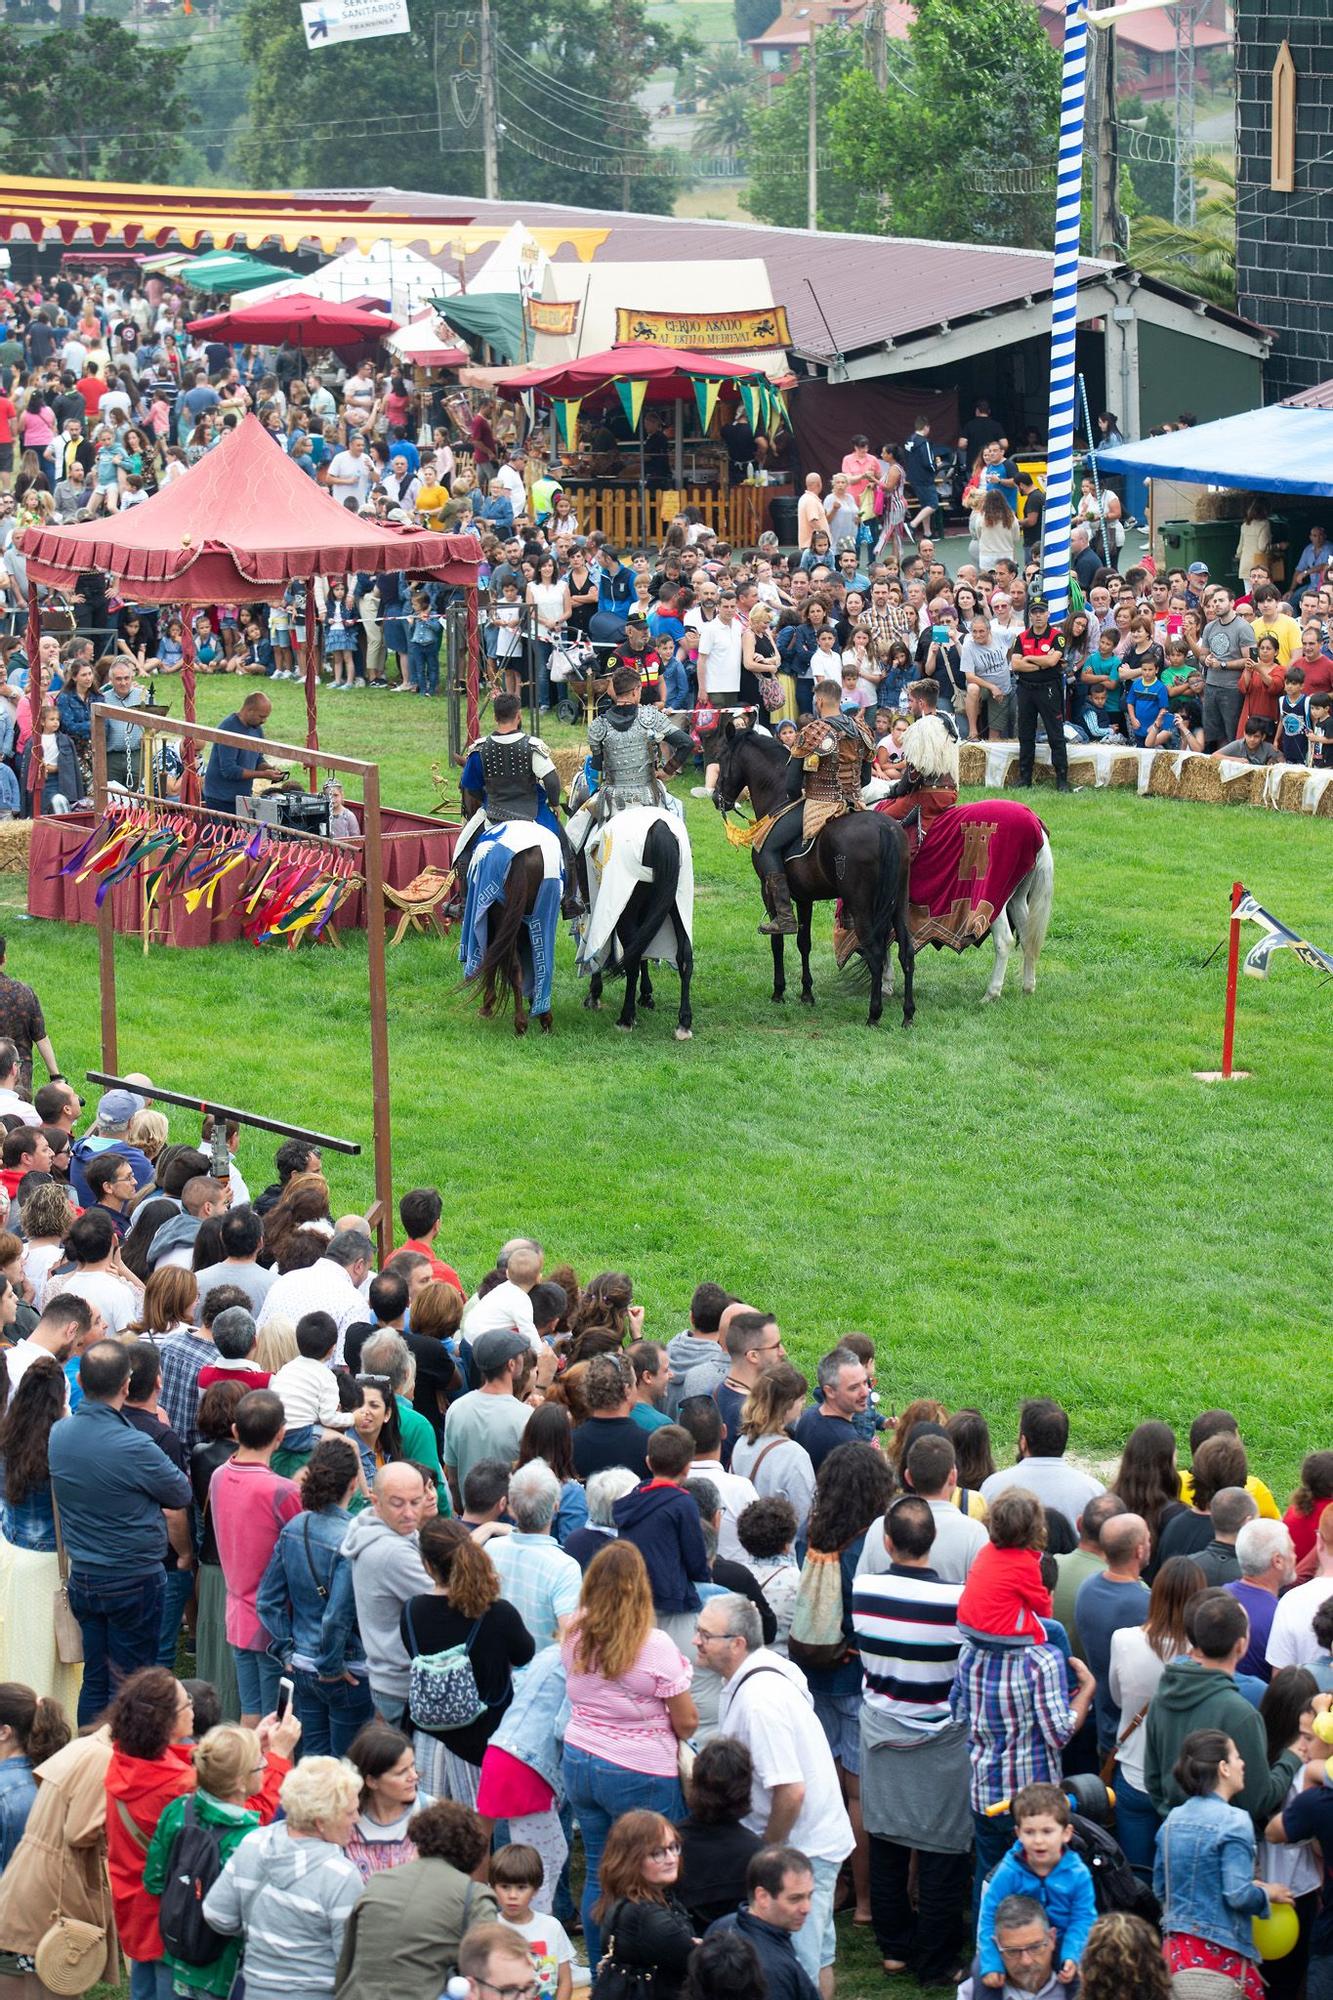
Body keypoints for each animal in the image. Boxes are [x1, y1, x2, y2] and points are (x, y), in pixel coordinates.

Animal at [572, 804, 696, 1040]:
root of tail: (660, 828)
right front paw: (646, 995)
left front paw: (594, 993)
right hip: (677, 905)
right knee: (684, 955)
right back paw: (683, 1023)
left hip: (626, 910)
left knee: (632, 958)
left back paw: (626, 1018)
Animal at [704, 720, 912, 1032]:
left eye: (721, 756)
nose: (718, 799)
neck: (778, 797)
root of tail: (886, 829)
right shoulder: (804, 897)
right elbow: (804, 942)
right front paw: (806, 993)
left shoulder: (769, 890)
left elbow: (778, 939)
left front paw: (779, 991)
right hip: (897, 903)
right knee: (906, 951)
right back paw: (908, 1014)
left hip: (862, 905)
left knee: (875, 952)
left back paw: (874, 1014)